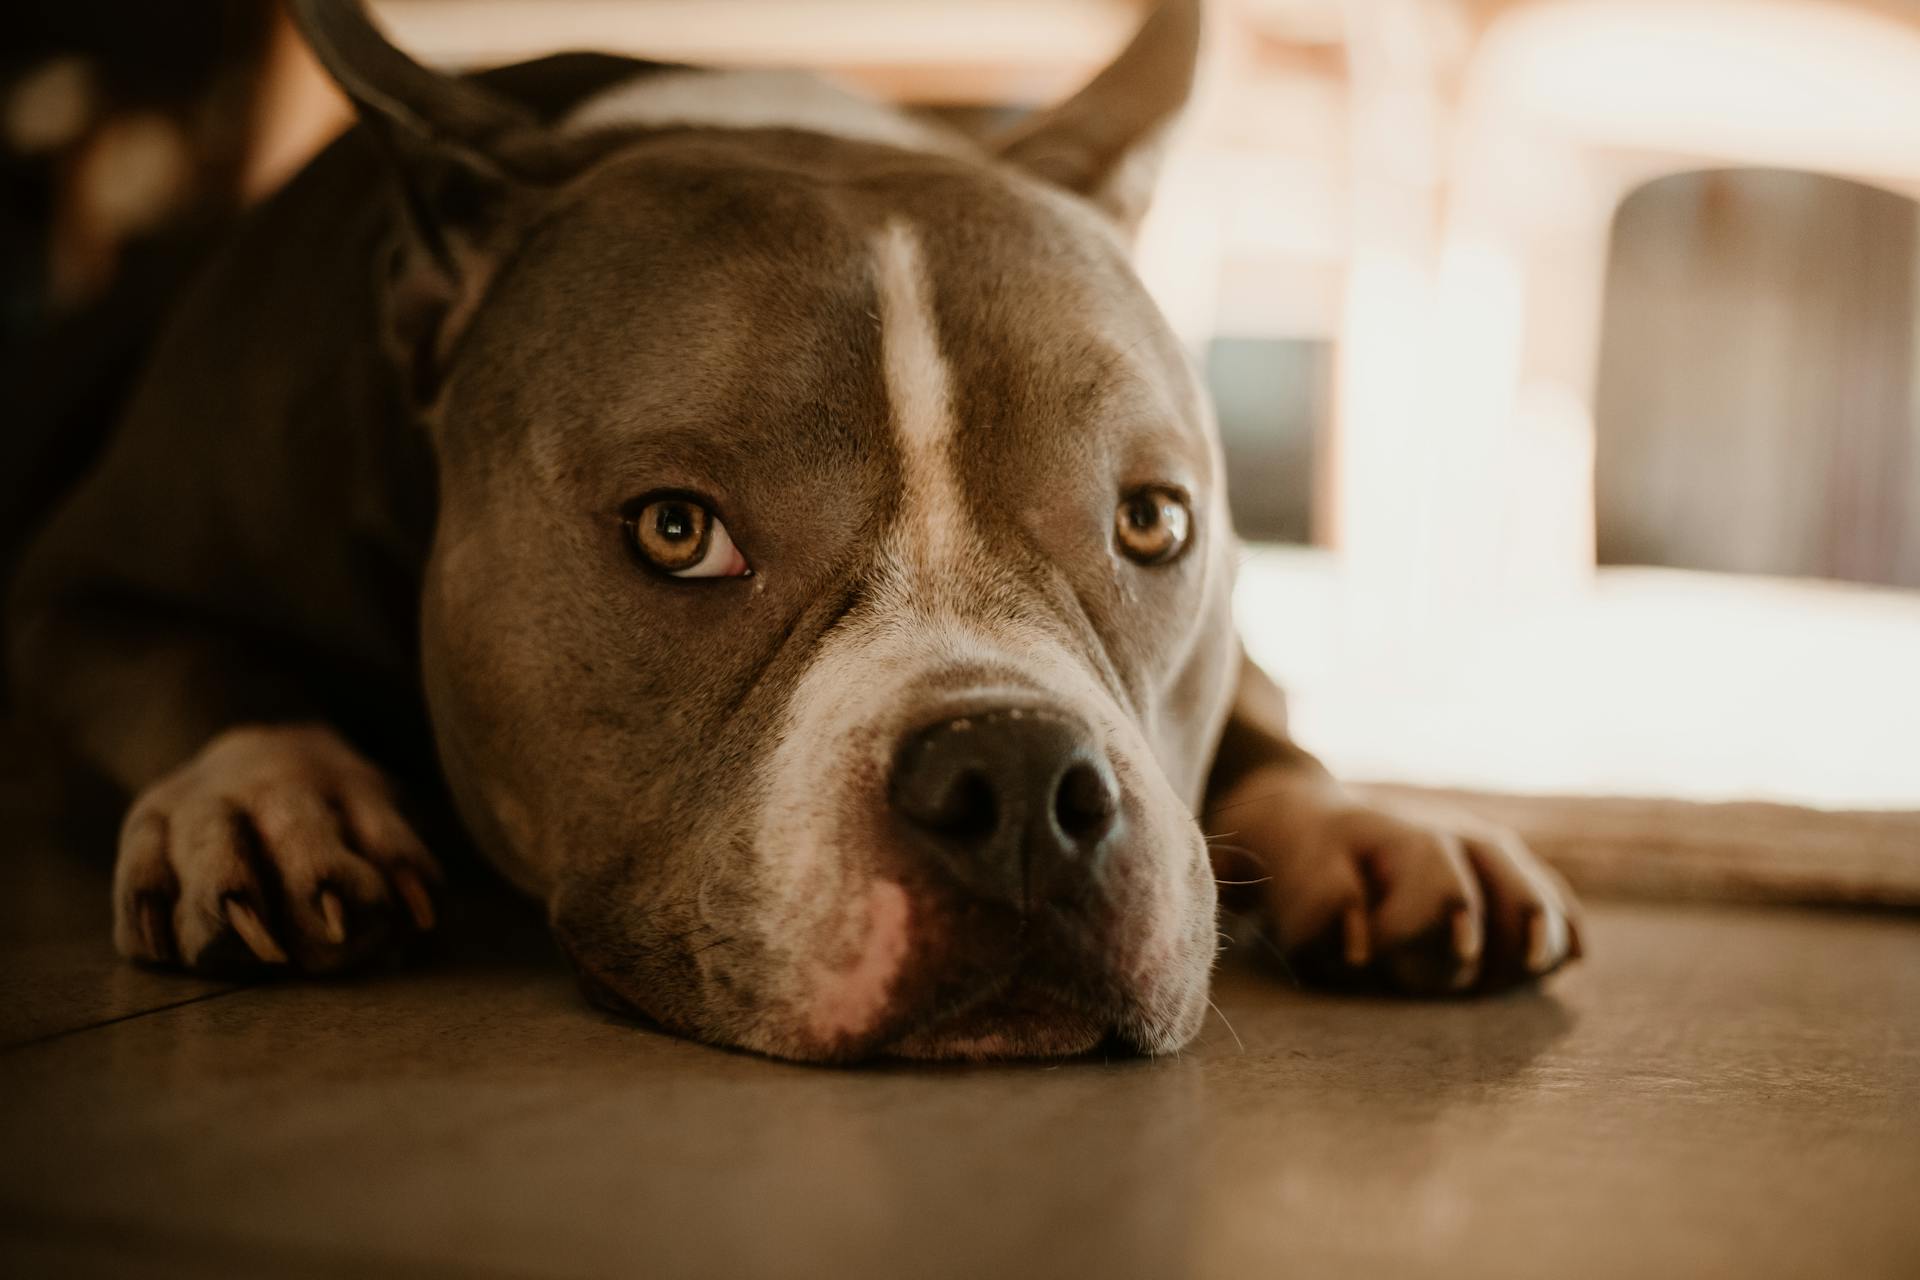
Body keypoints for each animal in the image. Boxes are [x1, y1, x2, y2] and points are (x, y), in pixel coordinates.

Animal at [7, 0, 1582, 1059]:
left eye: (1150, 521)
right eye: (677, 532)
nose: (1020, 782)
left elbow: (1262, 714)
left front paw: (1367, 821)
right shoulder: (76, 587)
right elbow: (192, 667)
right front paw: (268, 793)